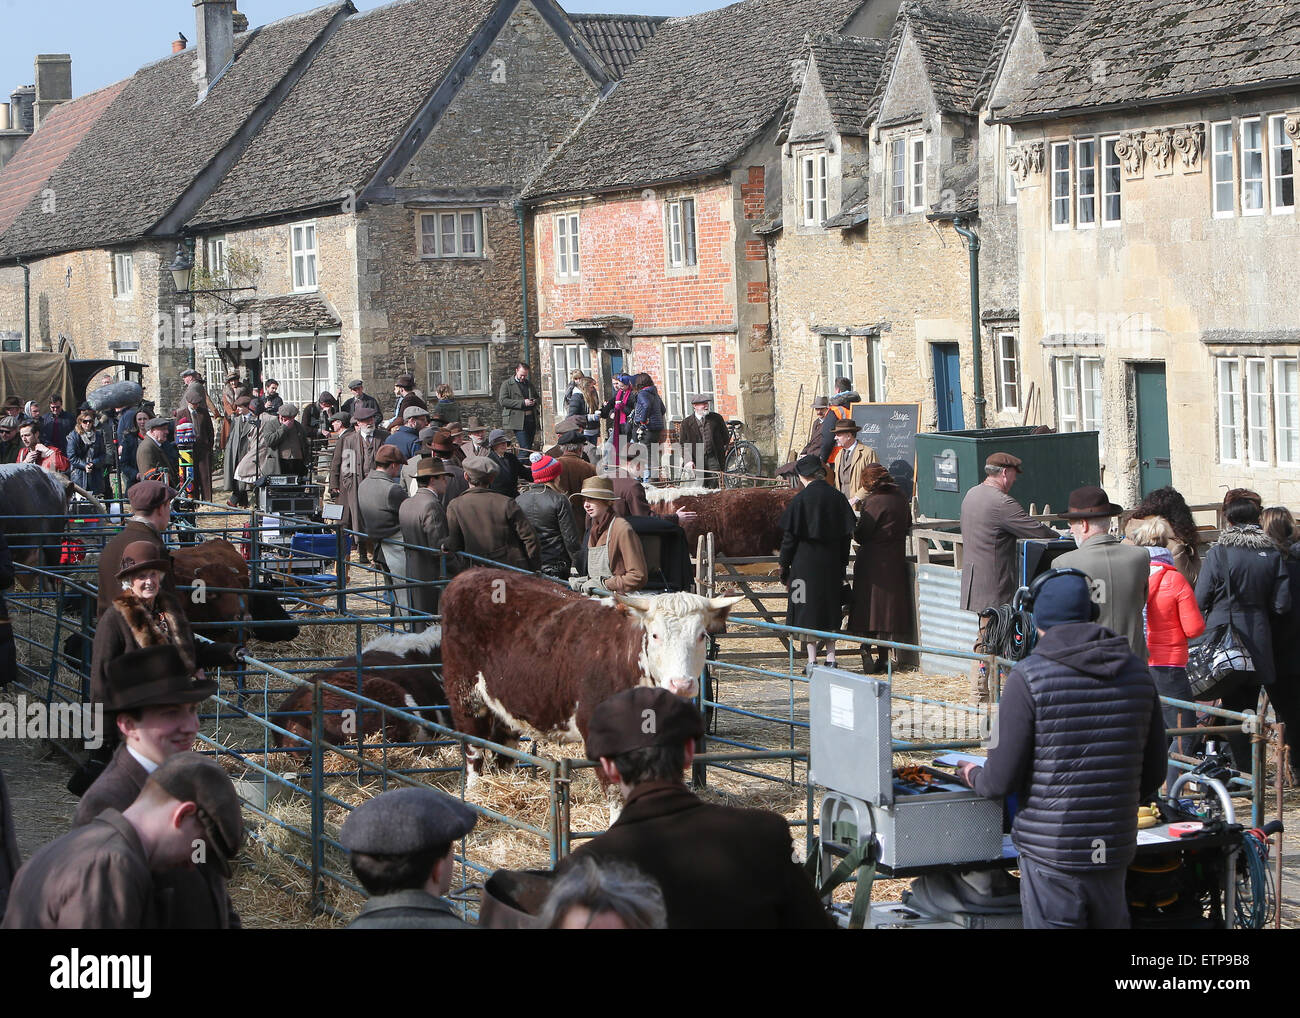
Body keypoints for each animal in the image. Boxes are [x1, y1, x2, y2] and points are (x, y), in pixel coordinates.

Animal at [439, 569, 738, 785]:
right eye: (655, 635)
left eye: (702, 635)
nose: (682, 684)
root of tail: (468, 575)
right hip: (466, 695)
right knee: (474, 749)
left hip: (506, 700)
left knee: (503, 748)